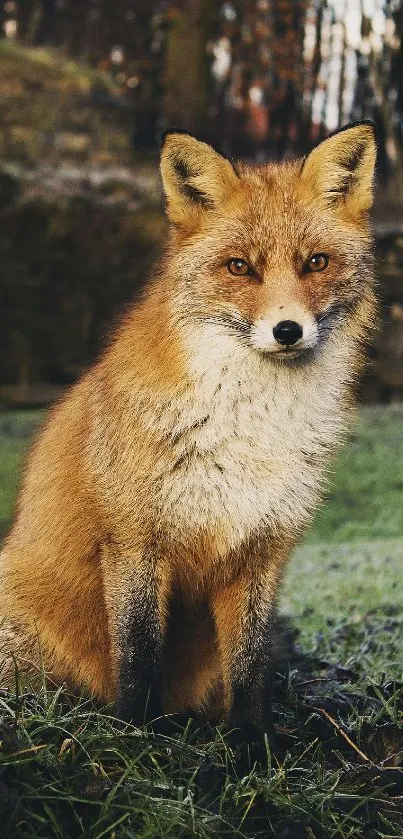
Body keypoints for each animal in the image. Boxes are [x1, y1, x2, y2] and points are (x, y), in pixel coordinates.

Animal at [0, 121, 378, 740]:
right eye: (239, 267)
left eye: (316, 263)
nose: (288, 330)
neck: (250, 429)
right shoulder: (135, 541)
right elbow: (138, 656)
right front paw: (137, 736)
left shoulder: (262, 549)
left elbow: (249, 666)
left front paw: (251, 743)